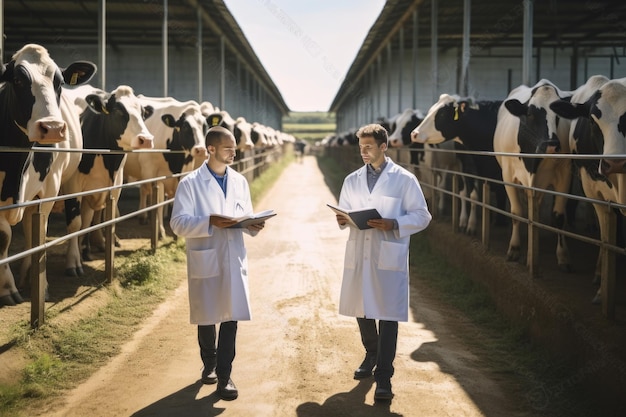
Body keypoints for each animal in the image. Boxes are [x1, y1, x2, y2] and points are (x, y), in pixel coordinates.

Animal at [0, 44, 95, 306]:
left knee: (73, 222)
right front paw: (8, 288)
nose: (52, 128)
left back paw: (72, 263)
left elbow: (38, 233)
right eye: (18, 80)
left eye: (59, 82)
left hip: (71, 181)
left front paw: (40, 287)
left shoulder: (49, 188)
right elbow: (5, 236)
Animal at [490, 79, 572, 272]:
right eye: (530, 113)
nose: (551, 144)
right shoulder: (508, 175)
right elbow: (516, 212)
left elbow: (558, 216)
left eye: (558, 115)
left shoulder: (564, 173)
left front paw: (562, 256)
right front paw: (514, 249)